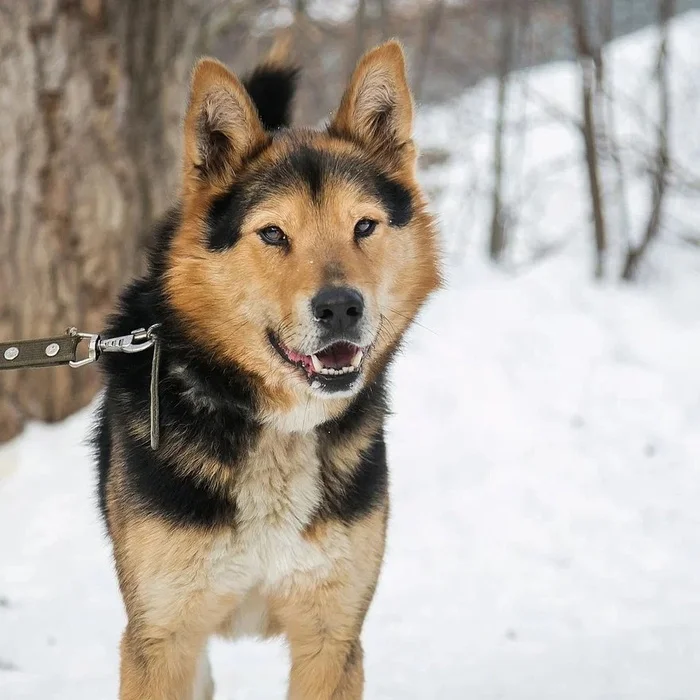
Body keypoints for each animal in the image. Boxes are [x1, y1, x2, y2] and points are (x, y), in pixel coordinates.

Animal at [95, 38, 440, 700]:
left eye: (364, 225)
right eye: (274, 234)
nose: (340, 307)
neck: (279, 427)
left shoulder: (332, 638)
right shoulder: (161, 640)